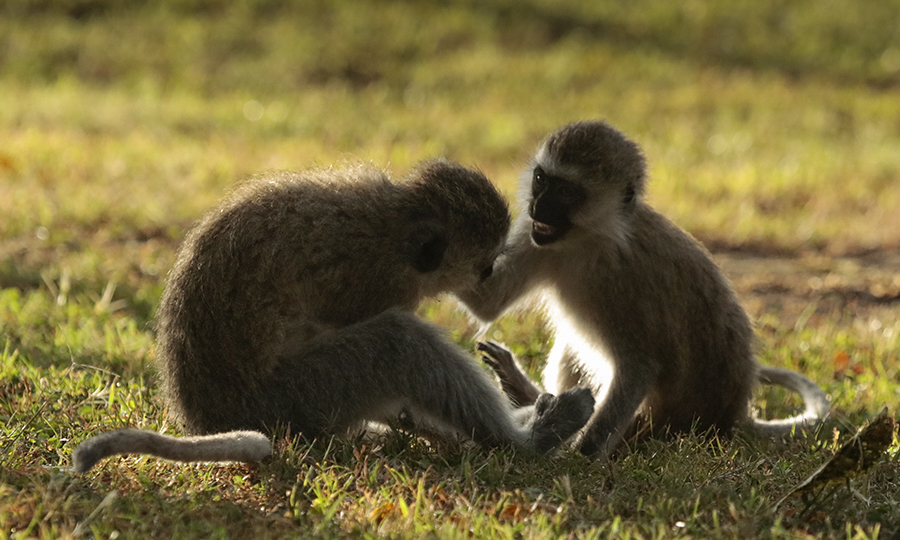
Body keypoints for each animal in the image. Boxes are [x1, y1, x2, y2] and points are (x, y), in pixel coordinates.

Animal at [74, 159, 596, 472]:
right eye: (484, 265)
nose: (486, 282)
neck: (395, 221)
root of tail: (214, 417)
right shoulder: (378, 283)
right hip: (298, 396)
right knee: (400, 343)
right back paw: (527, 440)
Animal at [458, 123, 828, 460]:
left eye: (565, 191)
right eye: (541, 179)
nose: (538, 207)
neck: (589, 240)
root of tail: (733, 414)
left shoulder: (626, 281)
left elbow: (639, 367)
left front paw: (579, 457)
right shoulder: (535, 236)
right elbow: (487, 301)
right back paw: (525, 393)